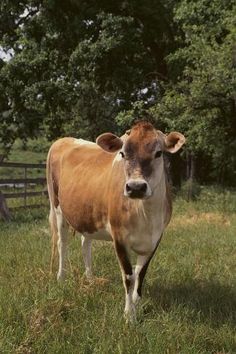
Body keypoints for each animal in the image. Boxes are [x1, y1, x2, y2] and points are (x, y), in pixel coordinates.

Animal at [46, 121, 186, 320]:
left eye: (158, 153)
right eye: (122, 153)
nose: (136, 187)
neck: (146, 216)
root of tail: (64, 139)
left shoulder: (156, 238)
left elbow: (140, 273)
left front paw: (137, 303)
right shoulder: (119, 237)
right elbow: (129, 275)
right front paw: (129, 315)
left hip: (87, 213)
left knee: (85, 244)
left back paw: (90, 279)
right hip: (57, 208)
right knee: (62, 244)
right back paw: (61, 278)